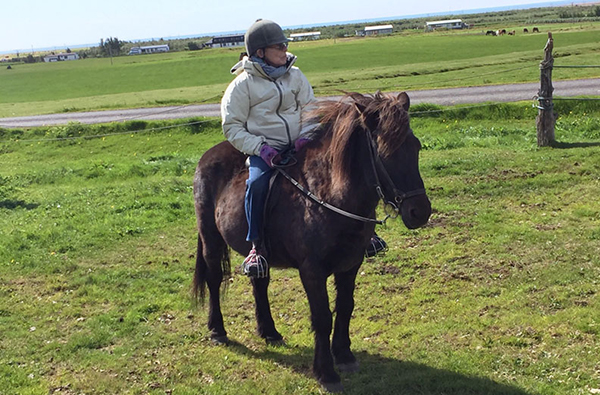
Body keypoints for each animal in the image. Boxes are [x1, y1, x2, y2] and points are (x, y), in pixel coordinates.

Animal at [192, 92, 432, 392]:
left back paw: (269, 332)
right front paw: (326, 373)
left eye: (416, 146)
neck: (328, 195)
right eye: (384, 153)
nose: (419, 212)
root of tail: (208, 156)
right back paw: (217, 330)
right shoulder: (312, 272)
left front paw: (344, 355)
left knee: (259, 282)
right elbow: (322, 317)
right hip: (211, 239)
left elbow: (345, 307)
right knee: (214, 279)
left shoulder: (350, 265)